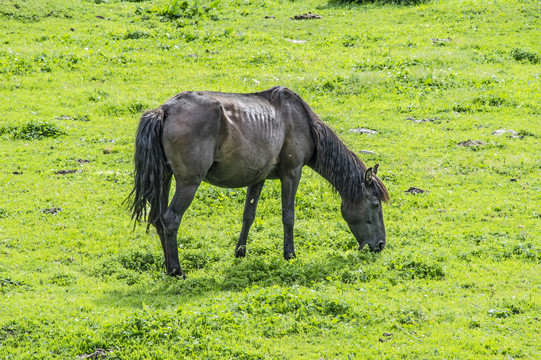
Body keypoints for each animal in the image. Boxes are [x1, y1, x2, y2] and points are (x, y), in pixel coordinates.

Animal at [126, 86, 388, 278]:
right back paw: (176, 270)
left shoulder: (257, 178)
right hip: (189, 183)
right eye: (375, 204)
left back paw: (168, 267)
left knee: (157, 219)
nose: (380, 245)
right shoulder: (292, 173)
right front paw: (290, 254)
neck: (302, 122)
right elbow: (288, 216)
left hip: (164, 178)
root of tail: (164, 110)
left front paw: (240, 252)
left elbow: (248, 215)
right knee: (170, 219)